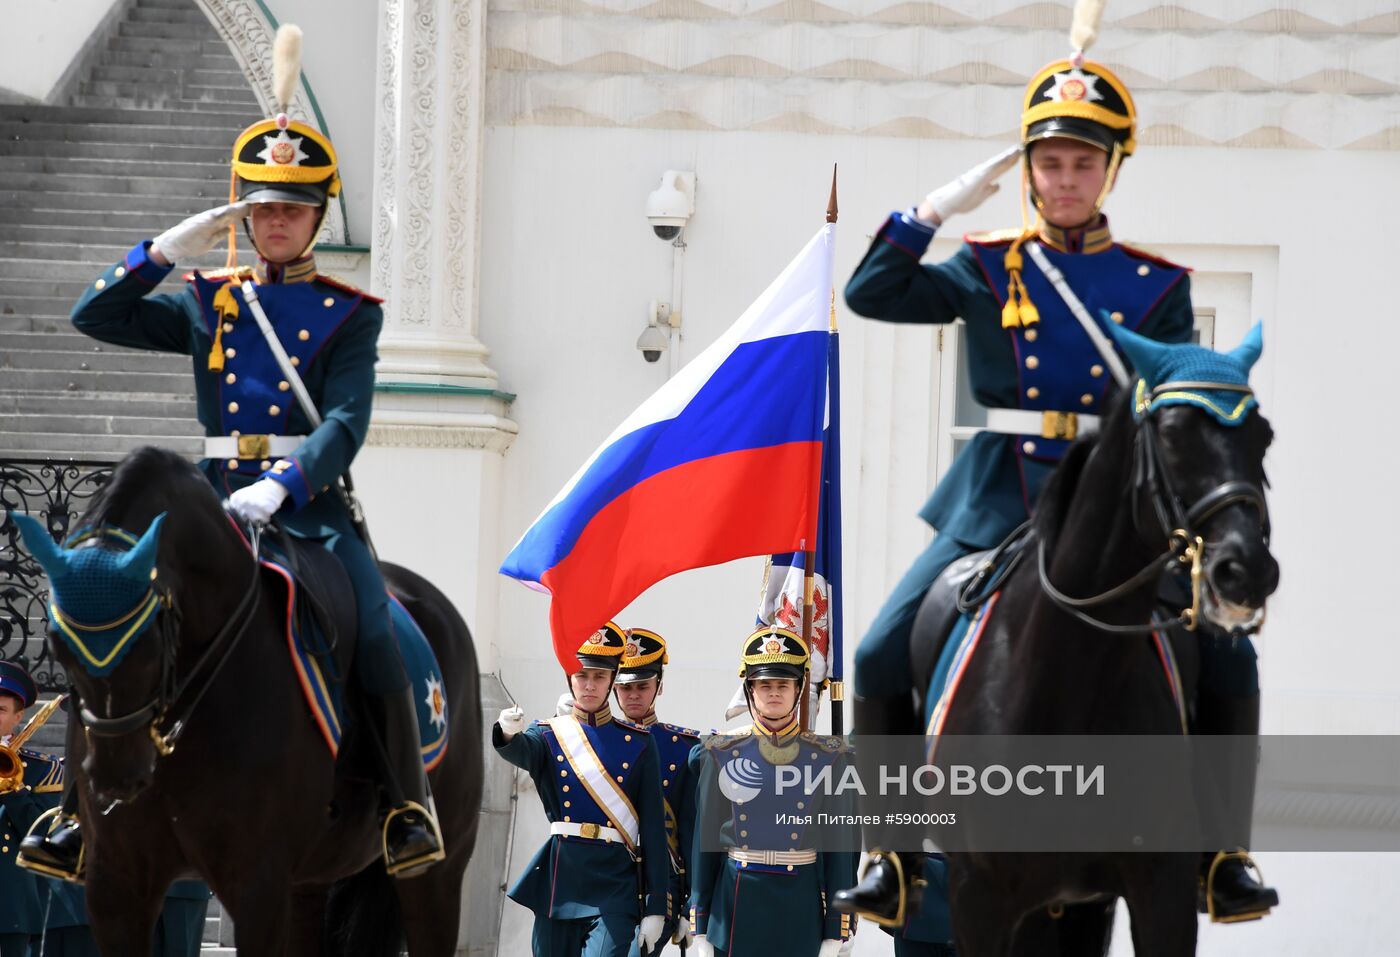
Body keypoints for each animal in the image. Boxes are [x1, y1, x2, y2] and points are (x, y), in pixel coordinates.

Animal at [13, 450, 487, 957]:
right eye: (58, 644)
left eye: (152, 641)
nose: (114, 777)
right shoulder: (115, 885)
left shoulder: (258, 884)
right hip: (311, 881)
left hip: (438, 872)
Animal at [907, 327, 1282, 951]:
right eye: (1172, 434)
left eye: (1264, 436)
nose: (1247, 570)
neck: (1070, 681)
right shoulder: (977, 899)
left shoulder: (1161, 893)